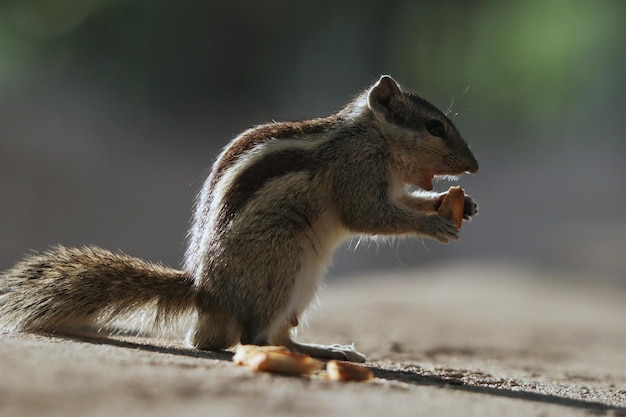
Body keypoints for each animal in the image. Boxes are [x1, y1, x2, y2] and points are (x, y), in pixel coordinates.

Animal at [0, 75, 478, 360]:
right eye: (435, 127)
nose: (473, 166)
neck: (373, 135)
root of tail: (206, 294)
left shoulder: (391, 184)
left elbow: (405, 200)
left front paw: (457, 204)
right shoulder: (355, 171)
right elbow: (369, 215)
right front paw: (435, 224)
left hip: (302, 285)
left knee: (274, 334)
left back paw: (324, 351)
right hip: (283, 263)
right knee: (251, 337)